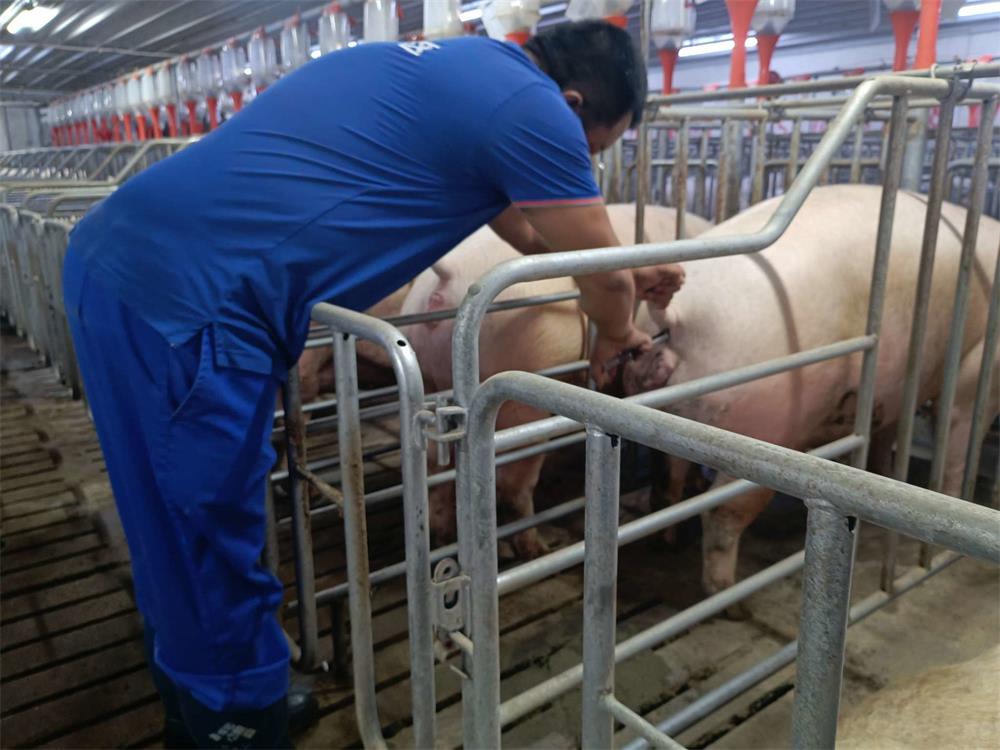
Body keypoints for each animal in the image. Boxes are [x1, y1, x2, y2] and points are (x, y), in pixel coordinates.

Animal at [401, 204, 712, 557]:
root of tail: (447, 277)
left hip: (431, 378)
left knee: (437, 468)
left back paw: (443, 535)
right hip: (522, 391)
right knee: (513, 484)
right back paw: (536, 547)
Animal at [622, 185, 1000, 599]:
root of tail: (675, 317)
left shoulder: (894, 396)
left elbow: (885, 438)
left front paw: (884, 475)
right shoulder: (977, 369)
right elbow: (958, 440)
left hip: (672, 418)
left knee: (668, 485)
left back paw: (667, 543)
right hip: (768, 427)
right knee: (722, 514)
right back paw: (730, 597)